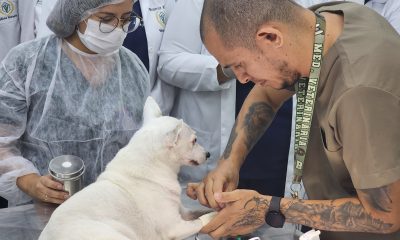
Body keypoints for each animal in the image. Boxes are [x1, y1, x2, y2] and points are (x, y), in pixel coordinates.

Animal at [39, 96, 212, 239]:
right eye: (194, 141)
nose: (208, 154)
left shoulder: (183, 212)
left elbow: (199, 212)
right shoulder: (175, 227)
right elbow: (201, 221)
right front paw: (212, 217)